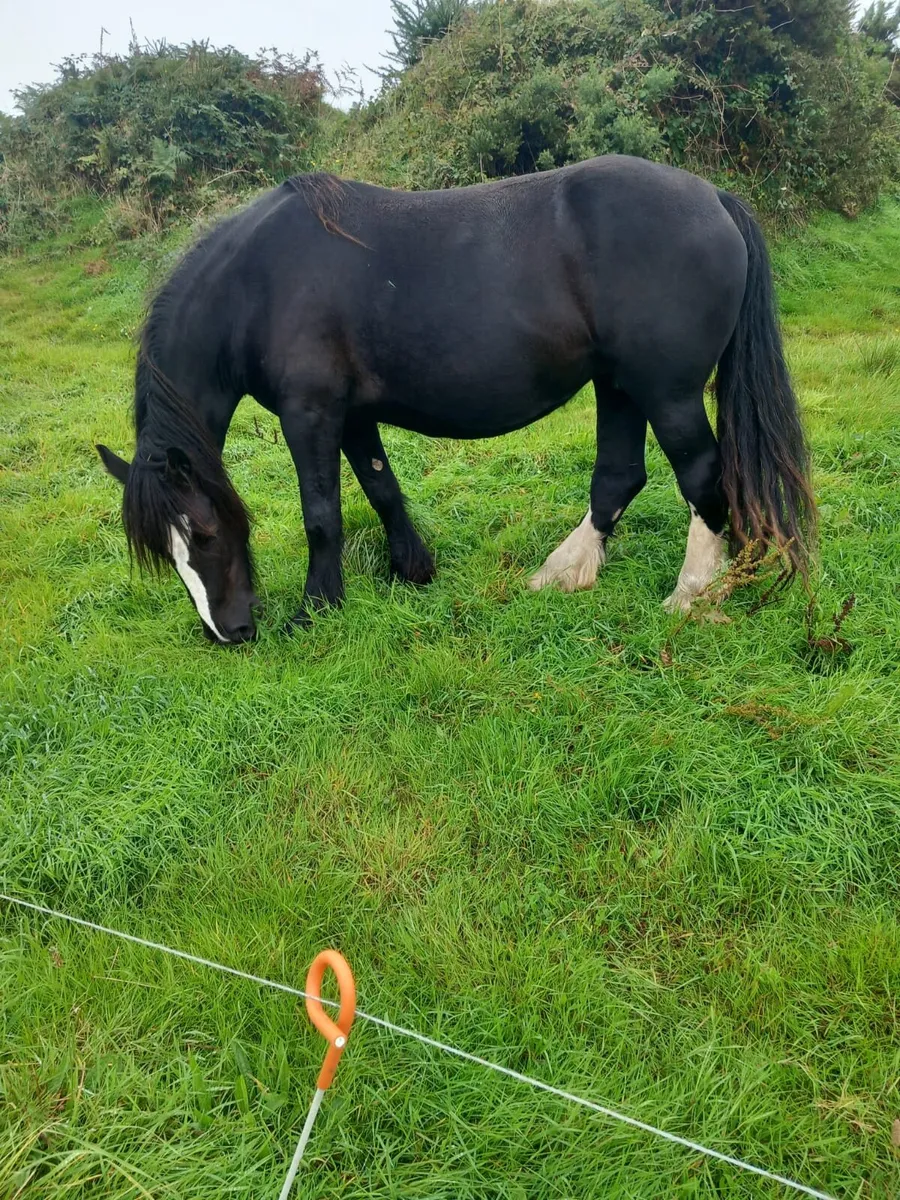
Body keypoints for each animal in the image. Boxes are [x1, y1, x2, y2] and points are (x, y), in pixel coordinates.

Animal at [96, 155, 815, 645]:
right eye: (166, 552)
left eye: (206, 533)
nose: (230, 632)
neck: (260, 283)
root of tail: (713, 196)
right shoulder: (352, 416)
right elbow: (381, 488)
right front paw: (411, 569)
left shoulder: (311, 415)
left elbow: (321, 514)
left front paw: (317, 608)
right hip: (617, 384)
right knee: (619, 476)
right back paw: (563, 572)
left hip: (666, 392)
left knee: (702, 478)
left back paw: (692, 596)